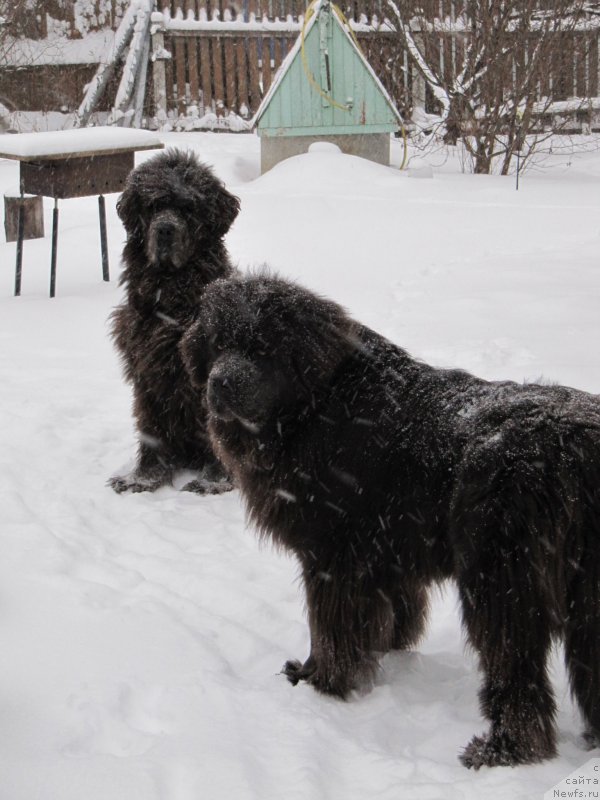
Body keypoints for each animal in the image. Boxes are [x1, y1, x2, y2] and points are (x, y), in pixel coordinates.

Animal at [109, 147, 240, 490]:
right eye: (154, 206)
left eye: (188, 207)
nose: (165, 229)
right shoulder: (147, 372)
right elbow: (150, 428)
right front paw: (144, 479)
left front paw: (213, 482)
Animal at [180, 274, 600, 768]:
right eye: (218, 344)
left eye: (262, 347)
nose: (220, 382)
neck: (312, 406)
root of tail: (573, 445)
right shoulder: (386, 551)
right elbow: (392, 612)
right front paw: (386, 652)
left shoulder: (333, 555)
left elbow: (330, 627)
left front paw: (320, 680)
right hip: (585, 592)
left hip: (502, 578)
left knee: (514, 668)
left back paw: (502, 750)